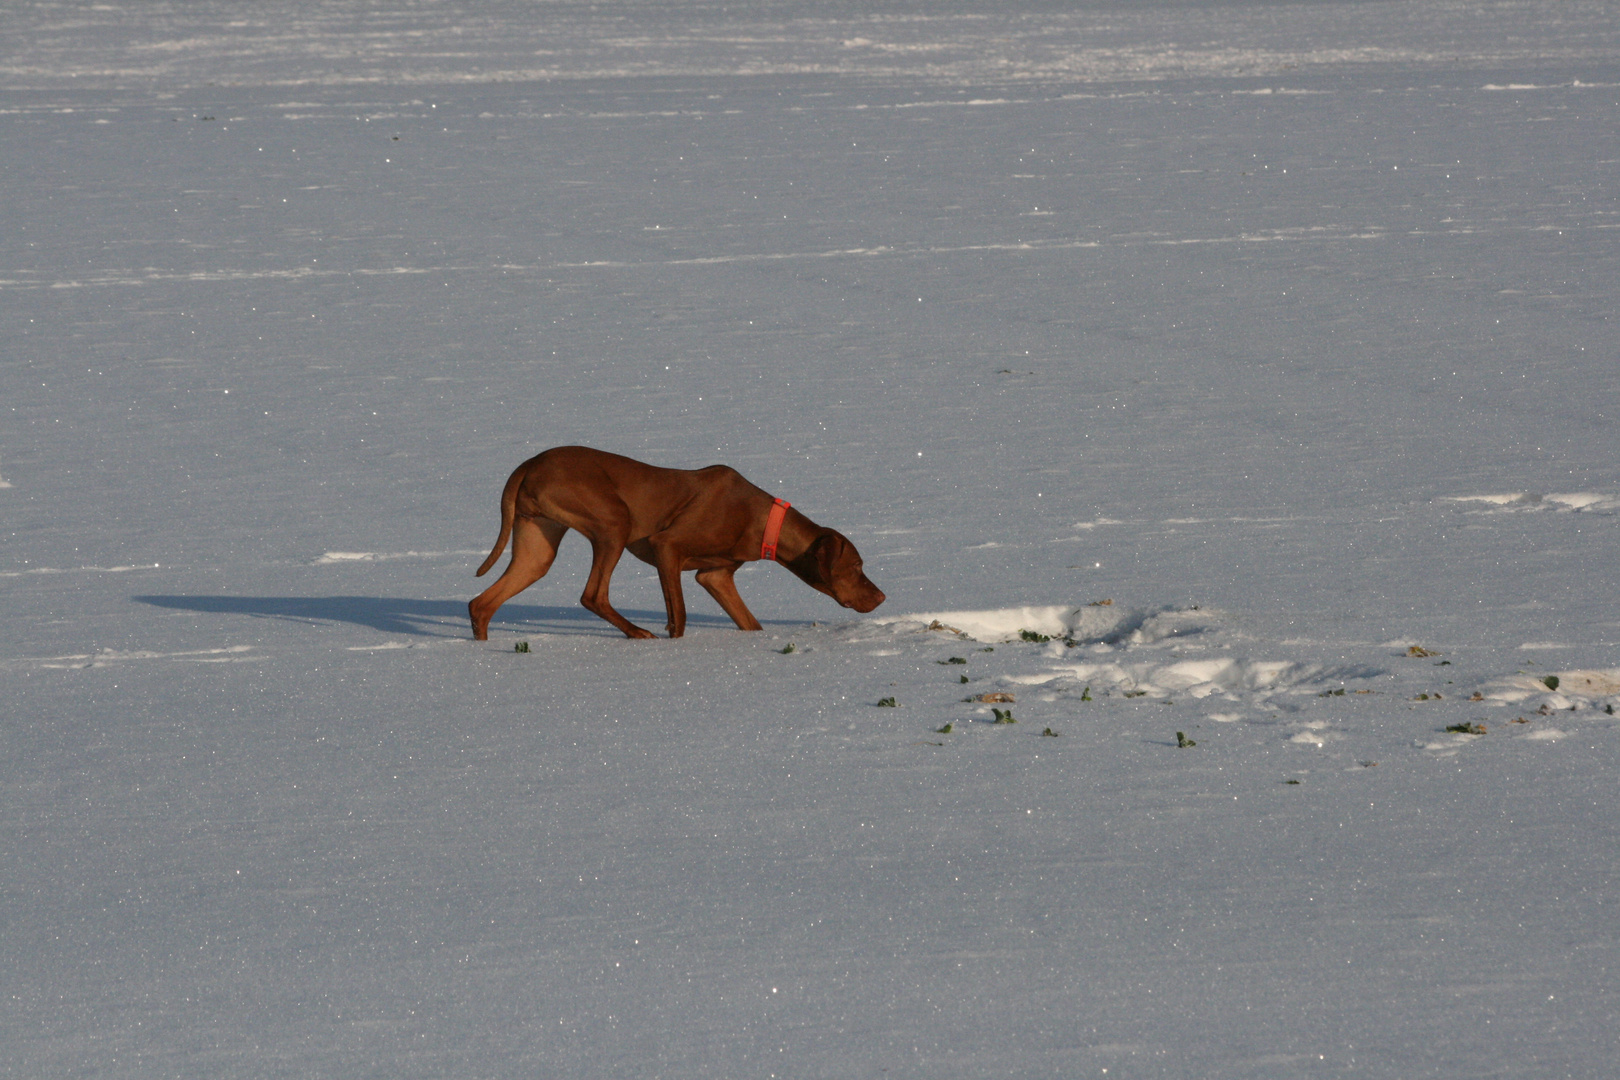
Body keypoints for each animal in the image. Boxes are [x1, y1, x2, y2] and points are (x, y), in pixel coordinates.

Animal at [469, 446, 887, 641]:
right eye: (857, 567)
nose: (882, 597)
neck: (762, 519)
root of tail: (531, 462)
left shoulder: (715, 575)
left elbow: (750, 623)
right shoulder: (666, 548)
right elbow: (680, 617)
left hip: (539, 545)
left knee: (481, 604)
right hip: (614, 523)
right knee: (593, 595)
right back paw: (638, 634)